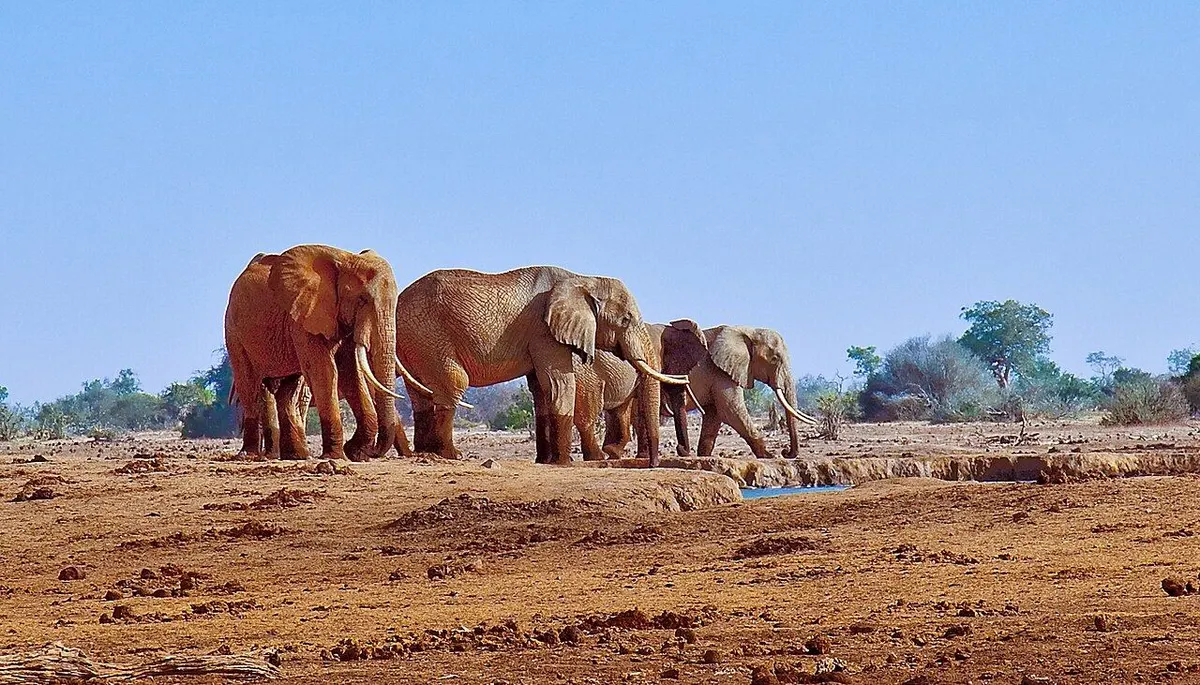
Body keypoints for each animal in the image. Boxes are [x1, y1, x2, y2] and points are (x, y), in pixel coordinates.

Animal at [224, 245, 407, 461]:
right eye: (363, 300)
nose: (373, 451)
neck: (346, 260)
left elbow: (350, 373)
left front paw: (354, 453)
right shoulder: (302, 316)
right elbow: (325, 371)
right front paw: (337, 456)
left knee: (288, 390)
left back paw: (296, 455)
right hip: (234, 332)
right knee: (249, 384)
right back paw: (250, 456)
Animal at [394, 266, 690, 465]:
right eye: (626, 320)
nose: (652, 465)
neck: (583, 279)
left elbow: (541, 390)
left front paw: (546, 461)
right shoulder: (544, 332)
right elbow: (559, 383)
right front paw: (564, 463)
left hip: (415, 340)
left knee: (420, 394)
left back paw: (427, 454)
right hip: (428, 335)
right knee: (454, 382)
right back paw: (452, 455)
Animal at [672, 325, 819, 459]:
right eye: (774, 359)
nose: (785, 452)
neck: (749, 331)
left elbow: (714, 415)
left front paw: (704, 456)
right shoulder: (722, 373)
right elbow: (731, 412)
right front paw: (769, 456)